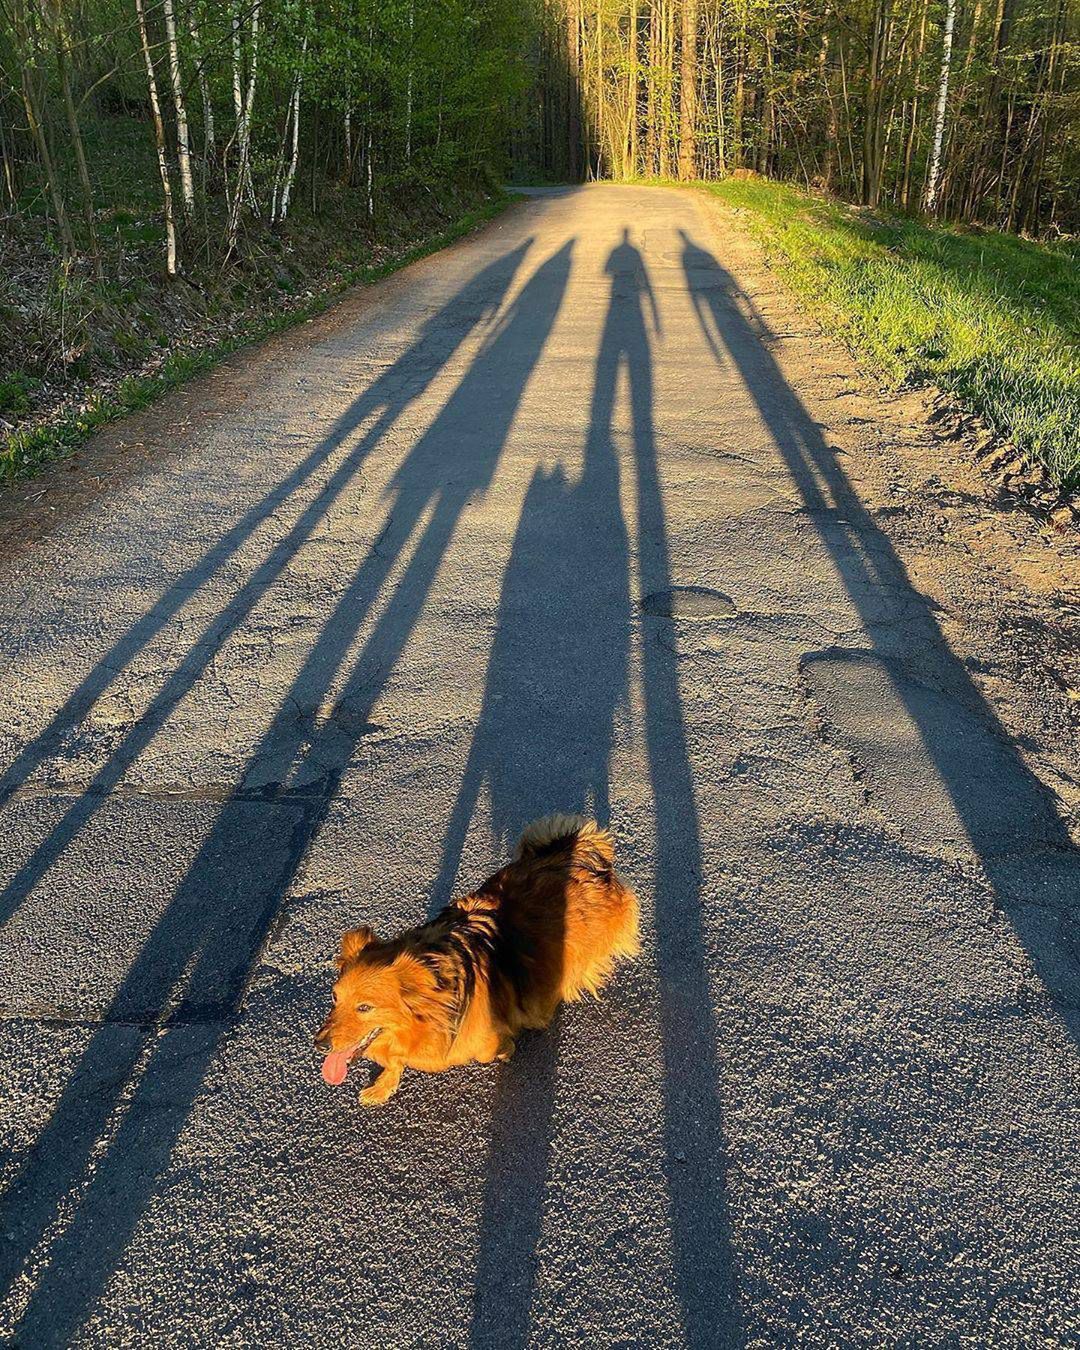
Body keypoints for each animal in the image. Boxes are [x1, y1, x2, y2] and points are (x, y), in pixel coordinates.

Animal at [311, 815, 637, 1101]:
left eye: (365, 1007)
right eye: (335, 998)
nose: (320, 1045)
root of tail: (581, 849)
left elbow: (487, 1049)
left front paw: (506, 1046)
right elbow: (394, 1061)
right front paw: (383, 1086)